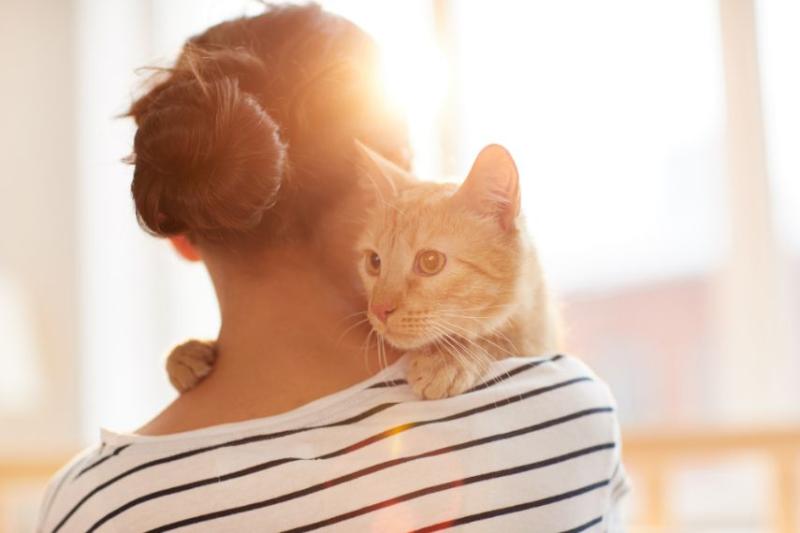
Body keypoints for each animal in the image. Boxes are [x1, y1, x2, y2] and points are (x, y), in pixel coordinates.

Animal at [166, 143, 560, 396]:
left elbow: (502, 339)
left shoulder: (537, 337)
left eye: (430, 262)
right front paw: (189, 352)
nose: (380, 309)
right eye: (374, 262)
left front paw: (451, 358)